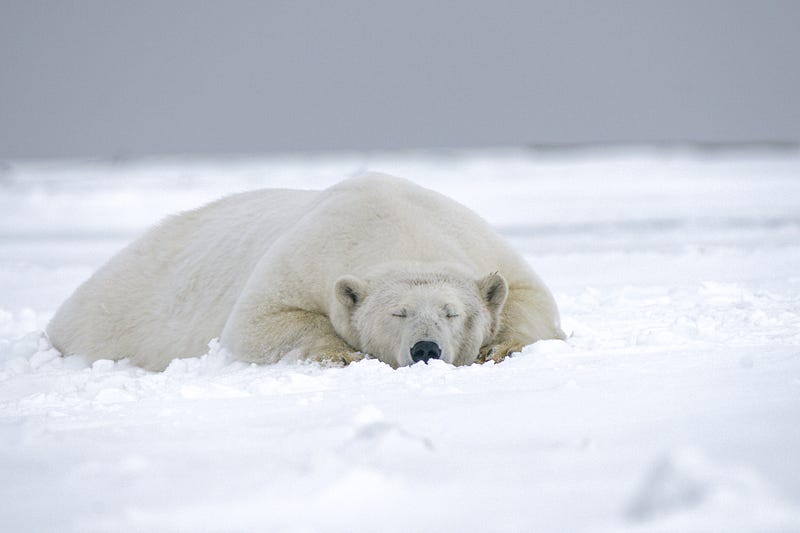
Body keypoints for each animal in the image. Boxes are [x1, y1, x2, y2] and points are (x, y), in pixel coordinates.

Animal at [47, 173, 565, 370]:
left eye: (451, 312)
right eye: (397, 314)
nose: (425, 349)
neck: (399, 227)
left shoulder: (478, 242)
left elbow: (530, 299)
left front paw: (500, 347)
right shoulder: (308, 255)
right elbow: (259, 322)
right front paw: (342, 354)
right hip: (114, 311)